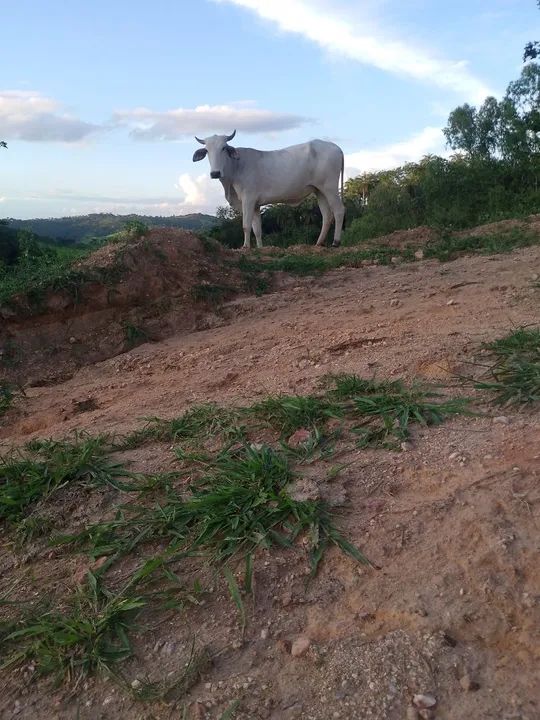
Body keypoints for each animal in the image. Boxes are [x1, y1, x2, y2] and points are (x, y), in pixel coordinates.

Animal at [192, 130, 345, 249]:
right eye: (207, 150)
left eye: (224, 148)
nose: (215, 173)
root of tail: (336, 147)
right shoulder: (255, 204)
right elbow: (257, 229)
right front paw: (260, 248)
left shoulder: (248, 199)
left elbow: (246, 225)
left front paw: (245, 246)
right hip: (319, 190)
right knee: (327, 215)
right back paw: (319, 243)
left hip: (330, 187)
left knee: (338, 210)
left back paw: (336, 242)